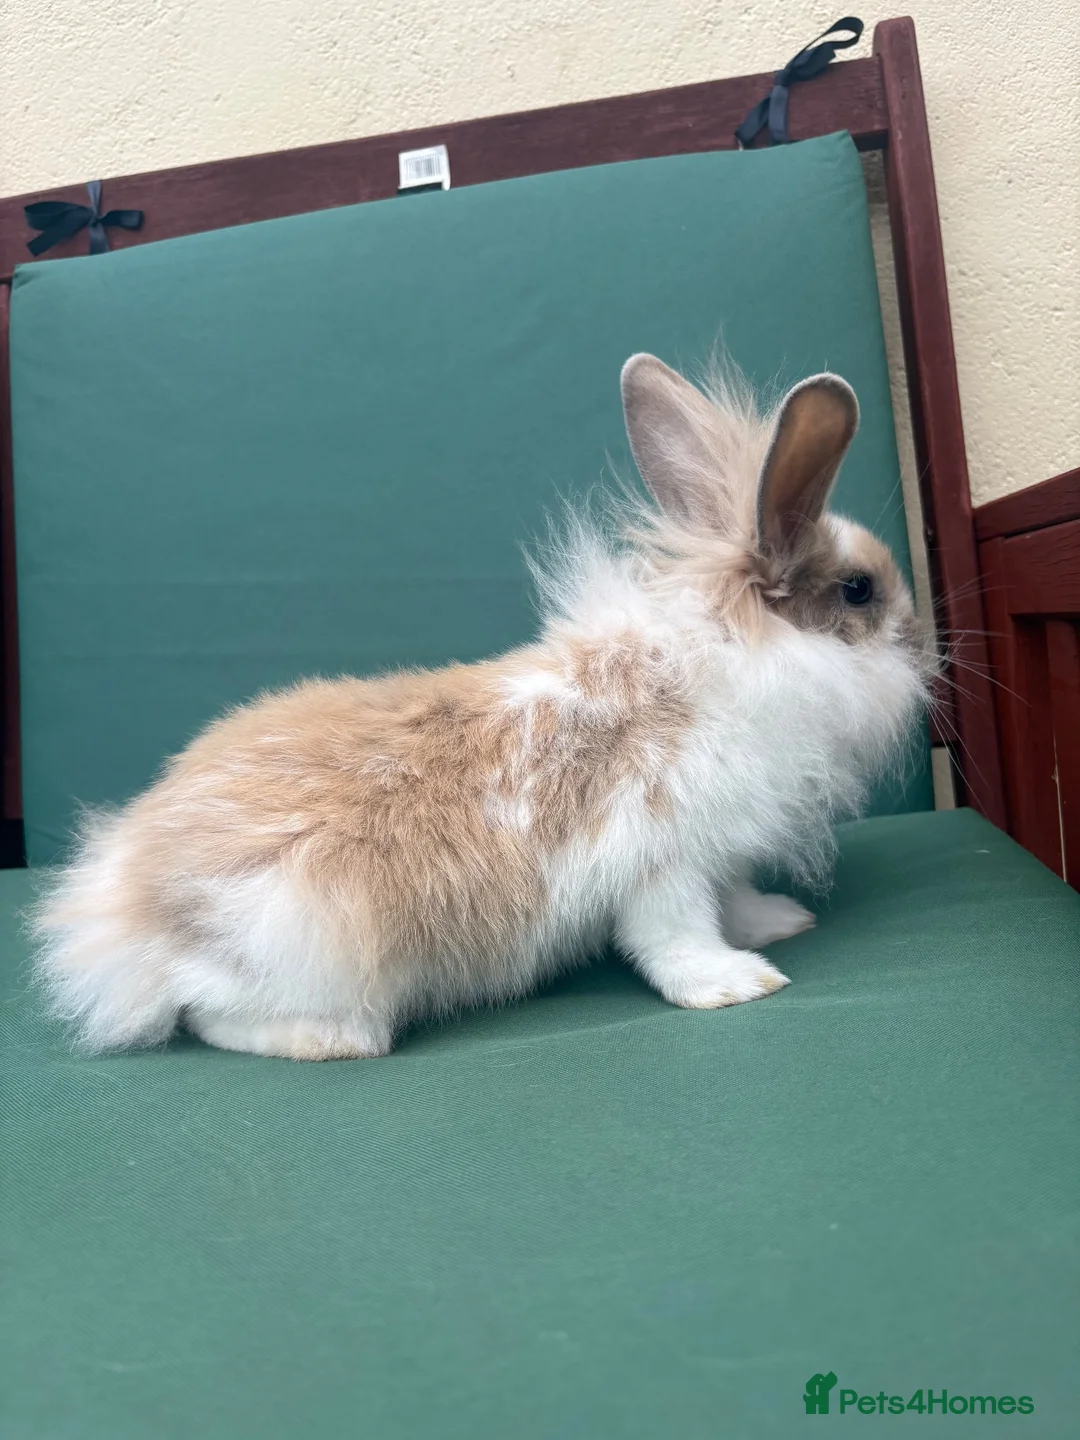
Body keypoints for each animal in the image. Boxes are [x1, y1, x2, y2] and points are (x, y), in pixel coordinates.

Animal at [33, 354, 934, 1060]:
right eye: (859, 590)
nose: (924, 642)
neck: (734, 660)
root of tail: (125, 905)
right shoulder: (660, 863)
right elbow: (675, 938)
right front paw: (739, 985)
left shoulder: (720, 856)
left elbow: (735, 900)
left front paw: (778, 925)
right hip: (300, 941)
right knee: (200, 1011)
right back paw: (331, 1040)